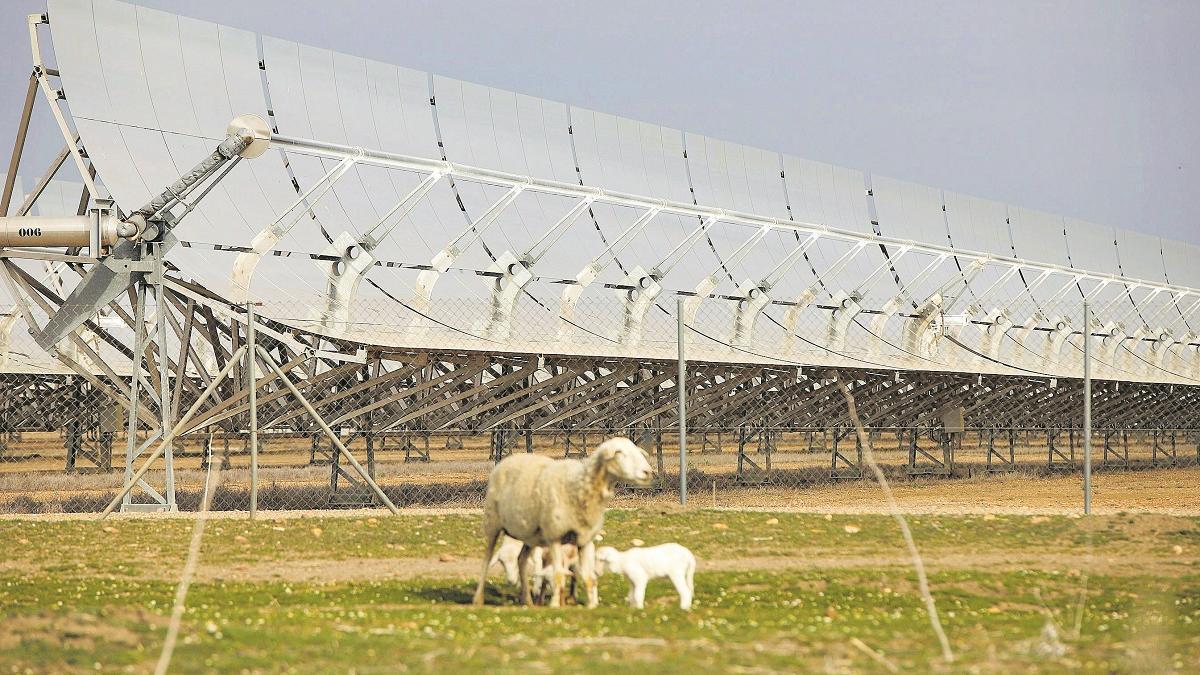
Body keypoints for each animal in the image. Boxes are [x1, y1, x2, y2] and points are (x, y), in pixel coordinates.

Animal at [470, 432, 657, 607]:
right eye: (620, 453)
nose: (648, 472)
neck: (580, 486)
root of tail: (510, 458)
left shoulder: (585, 540)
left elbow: (589, 577)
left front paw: (592, 605)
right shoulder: (555, 536)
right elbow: (558, 574)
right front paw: (555, 604)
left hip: (530, 535)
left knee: (521, 560)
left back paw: (527, 601)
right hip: (492, 523)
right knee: (486, 560)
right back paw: (478, 599)